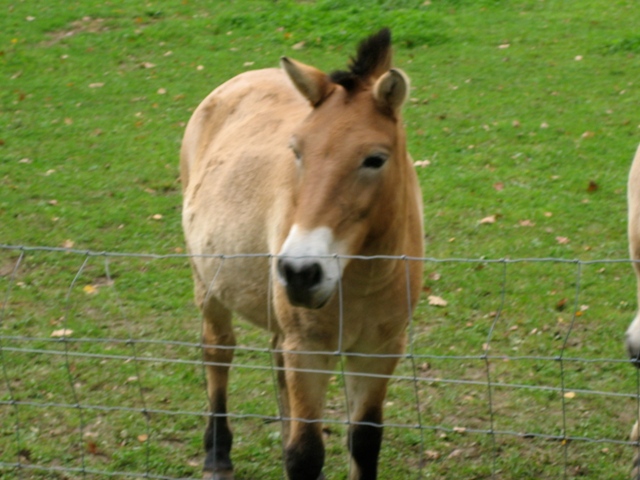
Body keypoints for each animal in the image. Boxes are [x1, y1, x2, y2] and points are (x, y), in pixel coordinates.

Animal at [179, 30, 424, 480]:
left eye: (375, 159)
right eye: (296, 151)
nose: (300, 272)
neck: (360, 278)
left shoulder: (379, 350)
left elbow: (364, 441)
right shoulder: (309, 351)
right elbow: (305, 453)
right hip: (209, 287)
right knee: (217, 353)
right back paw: (217, 454)